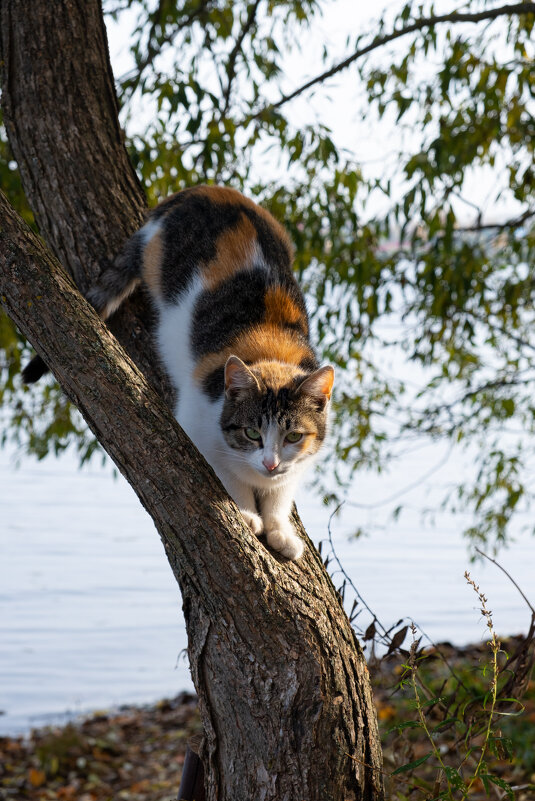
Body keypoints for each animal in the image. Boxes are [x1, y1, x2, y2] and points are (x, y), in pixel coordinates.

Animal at [30, 184, 336, 560]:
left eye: (293, 436)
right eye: (251, 433)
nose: (270, 464)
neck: (272, 353)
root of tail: (202, 190)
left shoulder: (300, 461)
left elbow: (282, 492)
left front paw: (280, 530)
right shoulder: (196, 425)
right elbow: (225, 471)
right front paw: (248, 512)